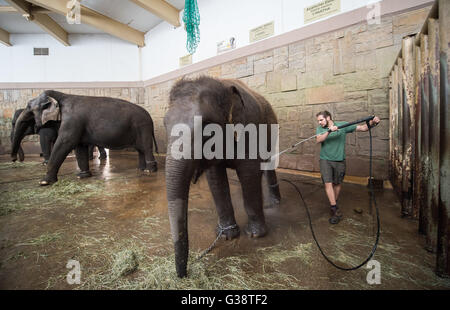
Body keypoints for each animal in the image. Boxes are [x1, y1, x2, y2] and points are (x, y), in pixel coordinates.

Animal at [11, 91, 158, 185]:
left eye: (29, 110)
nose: (14, 160)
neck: (60, 96)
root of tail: (150, 117)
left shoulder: (71, 122)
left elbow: (64, 144)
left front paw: (43, 182)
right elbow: (79, 147)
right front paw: (82, 176)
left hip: (143, 127)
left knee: (146, 147)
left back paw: (149, 171)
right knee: (140, 149)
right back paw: (141, 169)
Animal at [163, 76, 280, 278]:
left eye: (206, 127)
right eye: (164, 124)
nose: (183, 274)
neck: (221, 85)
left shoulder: (249, 128)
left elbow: (249, 173)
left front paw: (255, 235)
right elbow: (216, 178)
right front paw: (226, 235)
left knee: (269, 163)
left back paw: (274, 203)